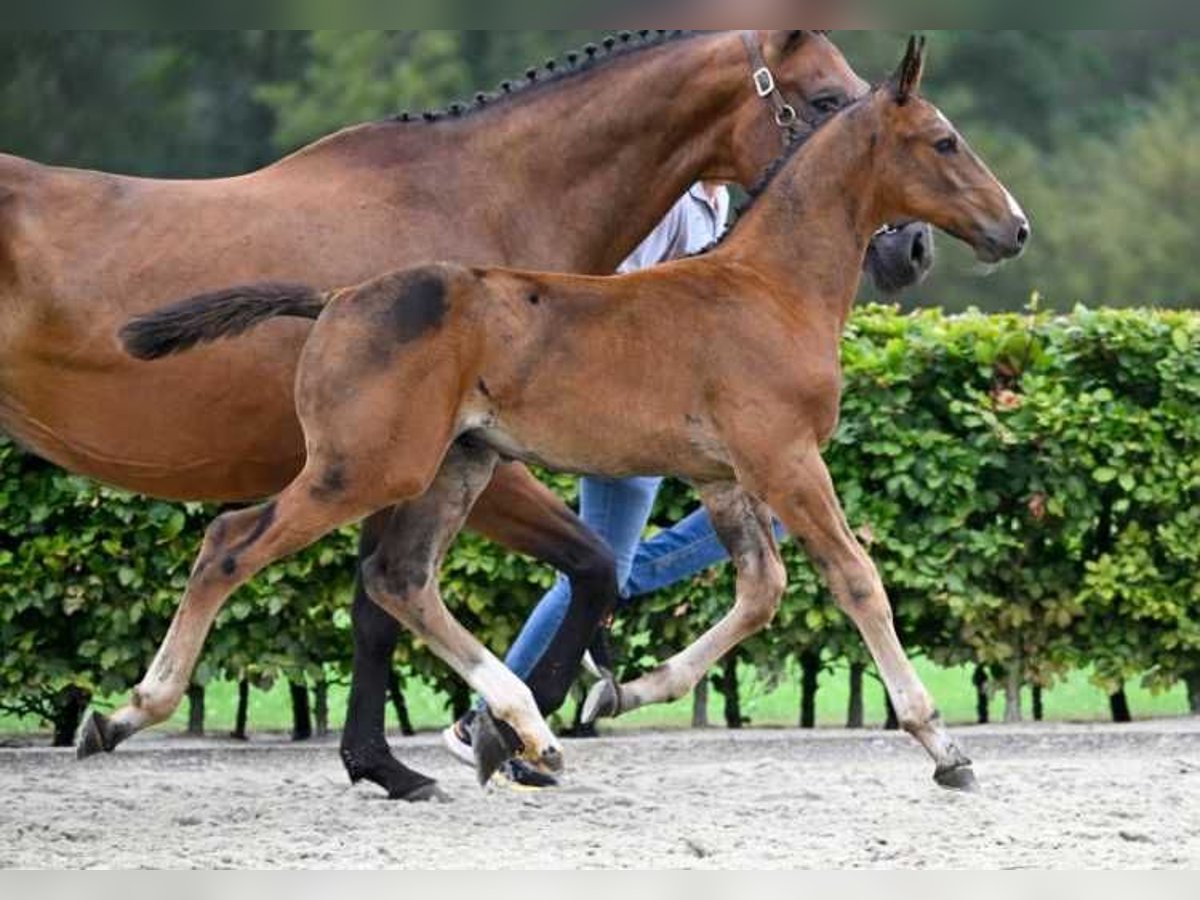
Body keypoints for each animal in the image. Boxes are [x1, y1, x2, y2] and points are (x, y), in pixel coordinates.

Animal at [119, 40, 1022, 787]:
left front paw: (623, 691)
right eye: (944, 141)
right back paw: (128, 711)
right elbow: (856, 578)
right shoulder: (786, 459)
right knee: (231, 543)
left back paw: (525, 732)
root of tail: (336, 298)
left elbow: (761, 589)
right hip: (365, 468)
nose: (1012, 228)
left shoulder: (724, 473)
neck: (769, 287)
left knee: (399, 580)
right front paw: (941, 743)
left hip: (456, 465)